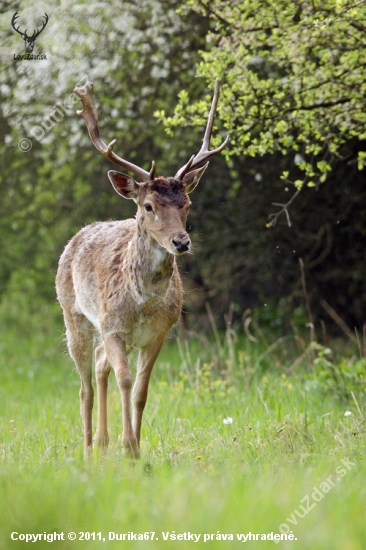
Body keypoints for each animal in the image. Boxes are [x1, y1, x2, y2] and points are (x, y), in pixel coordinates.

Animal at [56, 77, 229, 458]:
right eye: (148, 205)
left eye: (187, 203)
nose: (181, 241)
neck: (143, 302)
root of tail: (76, 237)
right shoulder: (112, 326)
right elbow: (124, 380)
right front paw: (129, 446)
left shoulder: (157, 334)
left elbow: (140, 390)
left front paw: (135, 451)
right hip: (74, 316)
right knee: (85, 385)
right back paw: (88, 450)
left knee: (100, 364)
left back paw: (103, 443)